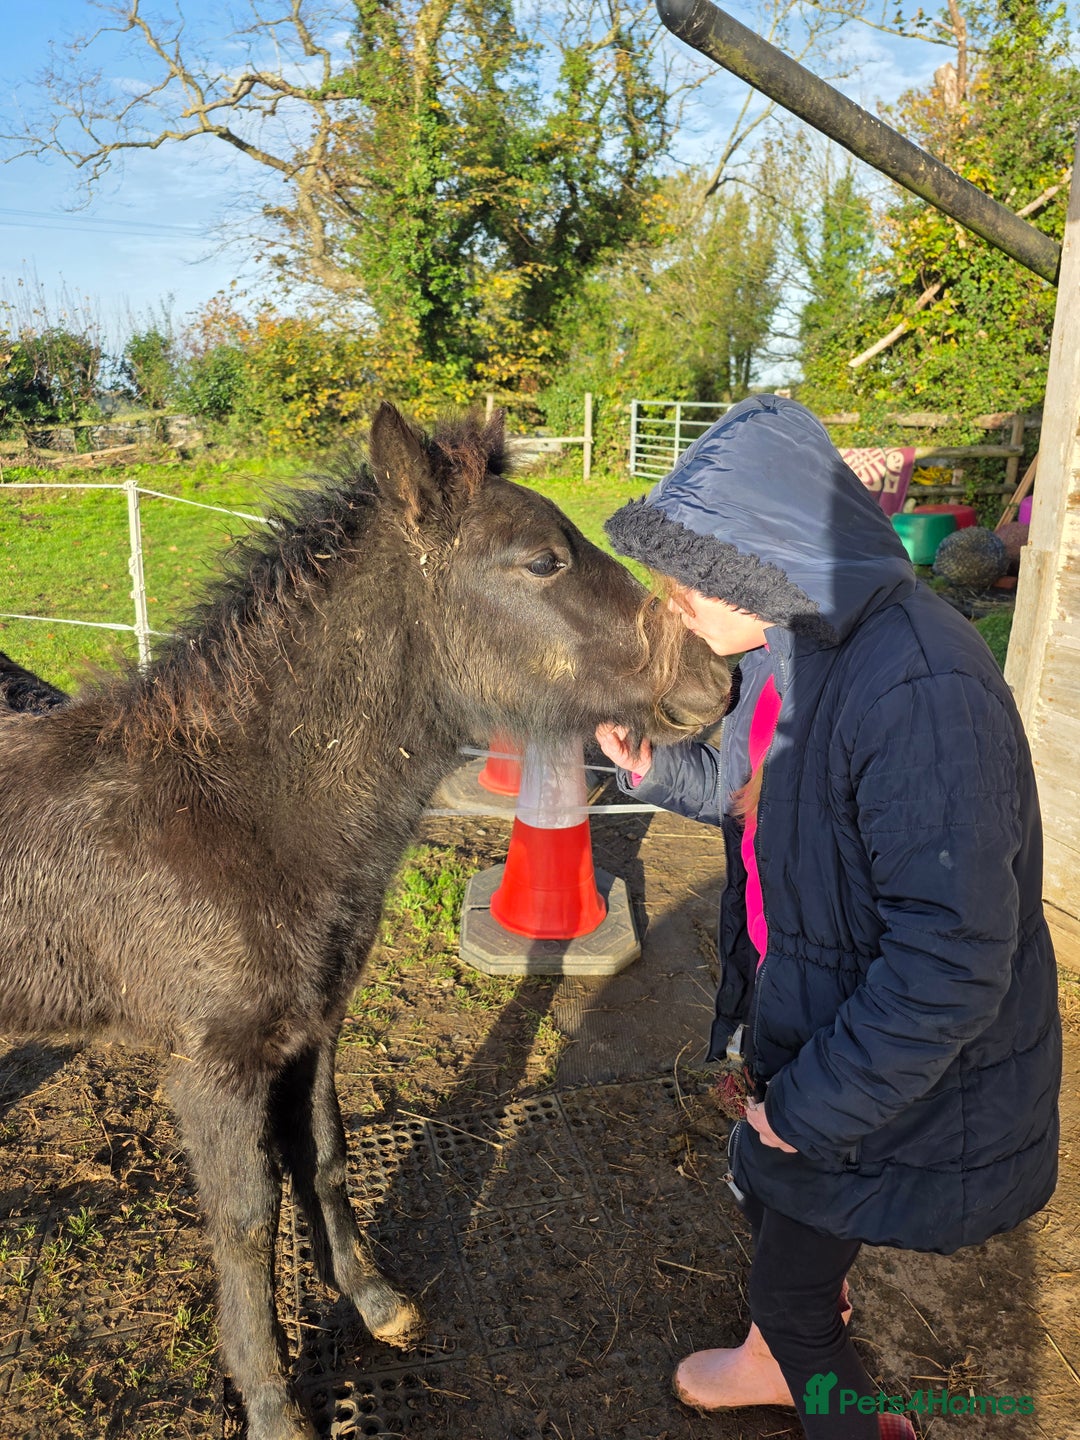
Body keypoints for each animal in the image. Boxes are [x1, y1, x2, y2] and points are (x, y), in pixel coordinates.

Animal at [0, 402, 729, 1440]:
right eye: (542, 561)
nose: (718, 684)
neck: (242, 815)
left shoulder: (316, 1027)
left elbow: (326, 1156)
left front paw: (375, 1302)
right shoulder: (212, 1066)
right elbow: (246, 1219)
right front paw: (272, 1404)